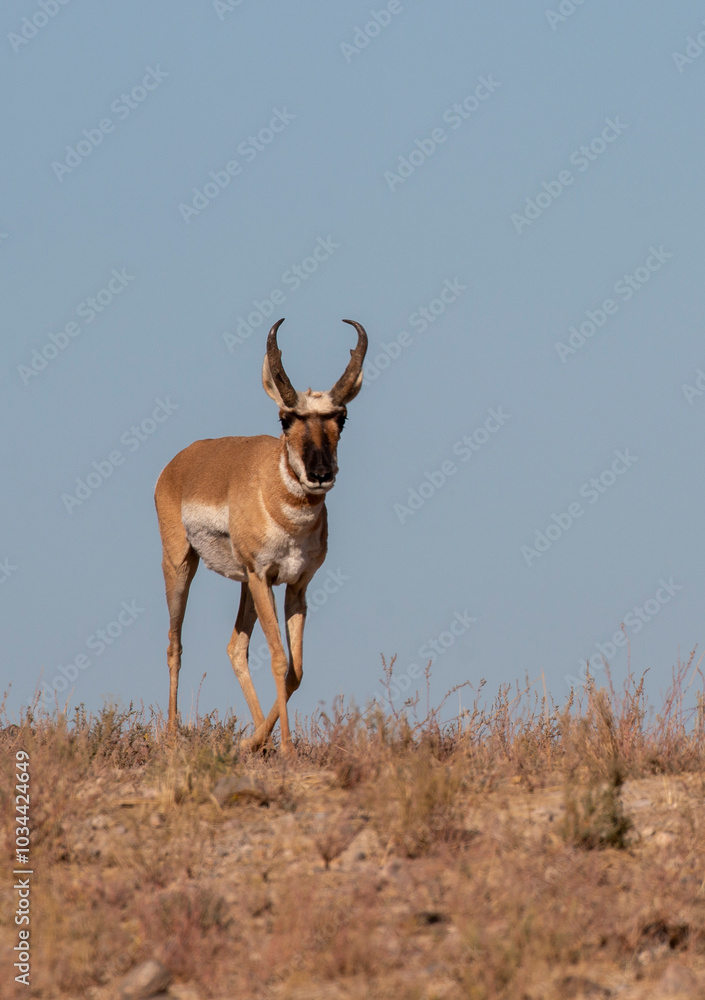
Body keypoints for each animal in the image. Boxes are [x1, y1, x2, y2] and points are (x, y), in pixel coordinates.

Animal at [154, 318, 367, 753]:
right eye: (286, 418)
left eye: (341, 417)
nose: (320, 474)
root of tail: (182, 460)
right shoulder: (263, 576)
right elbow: (279, 658)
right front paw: (285, 747)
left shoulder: (296, 586)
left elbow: (296, 670)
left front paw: (259, 742)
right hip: (183, 566)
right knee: (174, 643)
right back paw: (171, 734)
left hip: (245, 585)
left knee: (235, 646)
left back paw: (253, 738)